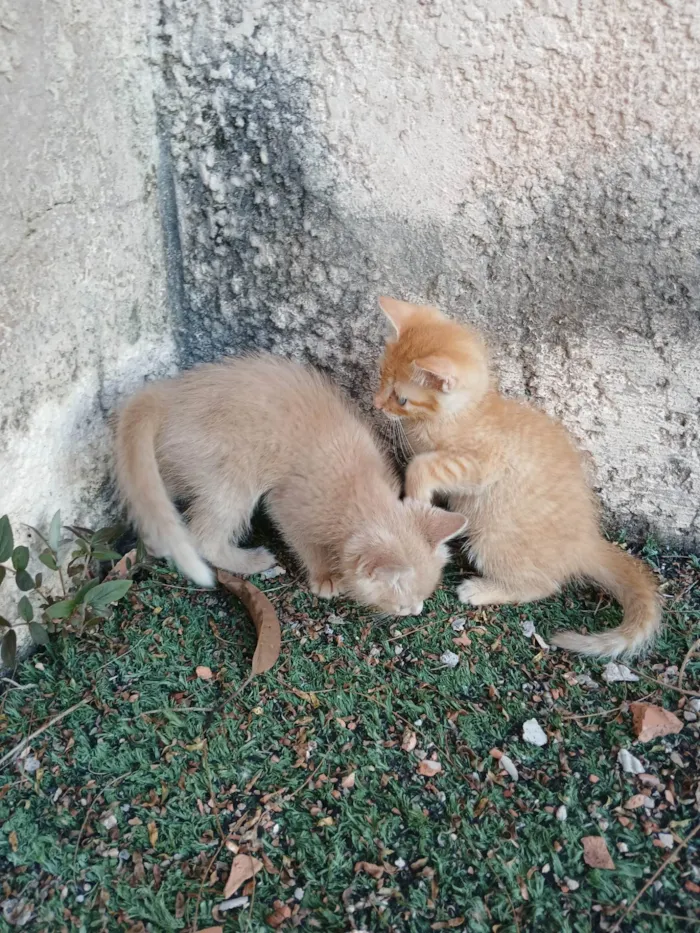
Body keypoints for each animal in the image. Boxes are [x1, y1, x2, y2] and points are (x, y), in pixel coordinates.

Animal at [115, 350, 464, 612]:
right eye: (402, 603)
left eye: (424, 596)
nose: (415, 611)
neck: (359, 487)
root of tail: (169, 394)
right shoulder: (287, 505)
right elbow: (304, 542)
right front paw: (325, 576)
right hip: (232, 476)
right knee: (204, 538)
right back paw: (251, 560)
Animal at [374, 298, 660, 656]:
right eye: (380, 377)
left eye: (401, 399)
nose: (376, 404)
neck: (465, 413)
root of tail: (587, 542)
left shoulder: (483, 464)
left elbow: (422, 465)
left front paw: (417, 500)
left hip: (493, 539)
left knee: (543, 585)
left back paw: (481, 590)